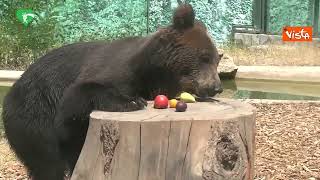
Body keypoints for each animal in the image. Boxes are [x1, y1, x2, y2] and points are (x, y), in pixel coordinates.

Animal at [2, 3, 222, 180]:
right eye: (205, 57)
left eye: (217, 59)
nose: (217, 87)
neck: (155, 71)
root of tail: (11, 92)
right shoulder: (113, 70)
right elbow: (79, 96)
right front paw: (132, 102)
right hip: (34, 115)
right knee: (47, 161)